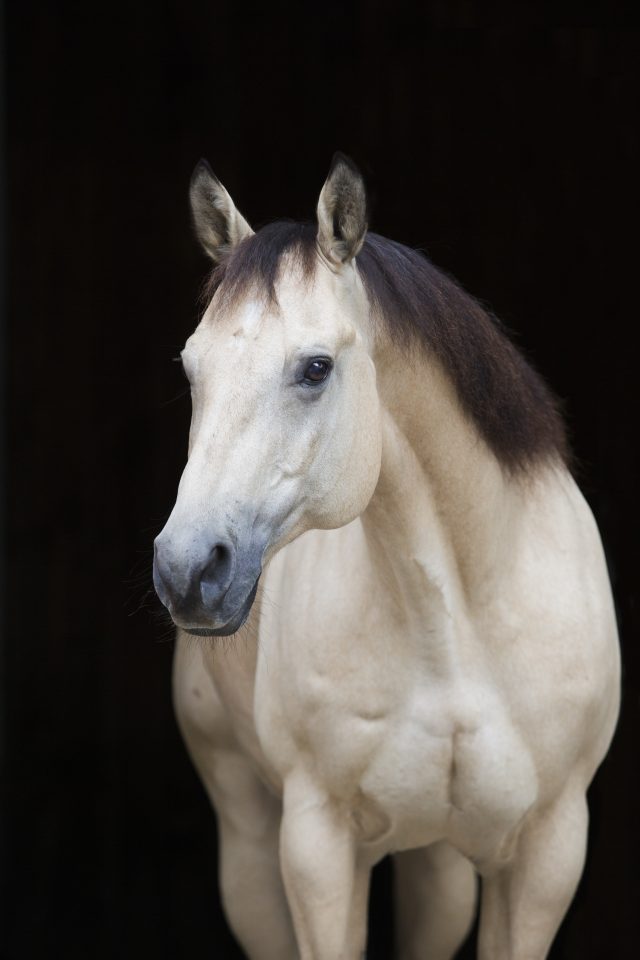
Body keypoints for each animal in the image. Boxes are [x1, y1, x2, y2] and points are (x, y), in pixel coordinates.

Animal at [152, 154, 616, 956]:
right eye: (190, 370)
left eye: (315, 368)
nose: (187, 571)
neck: (459, 627)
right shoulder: (317, 849)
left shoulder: (549, 854)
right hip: (248, 840)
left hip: (440, 869)